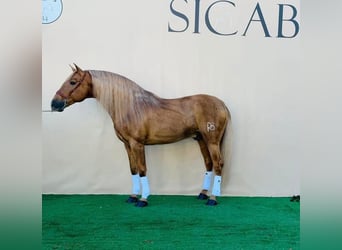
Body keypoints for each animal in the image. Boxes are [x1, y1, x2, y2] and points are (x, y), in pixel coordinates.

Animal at [50, 64, 231, 207]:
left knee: (218, 164)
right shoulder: (127, 145)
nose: (54, 104)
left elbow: (143, 169)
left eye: (73, 82)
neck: (130, 107)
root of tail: (221, 104)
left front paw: (143, 199)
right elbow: (133, 169)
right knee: (208, 164)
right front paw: (132, 197)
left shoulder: (137, 144)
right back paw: (202, 194)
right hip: (201, 139)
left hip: (212, 141)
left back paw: (213, 198)